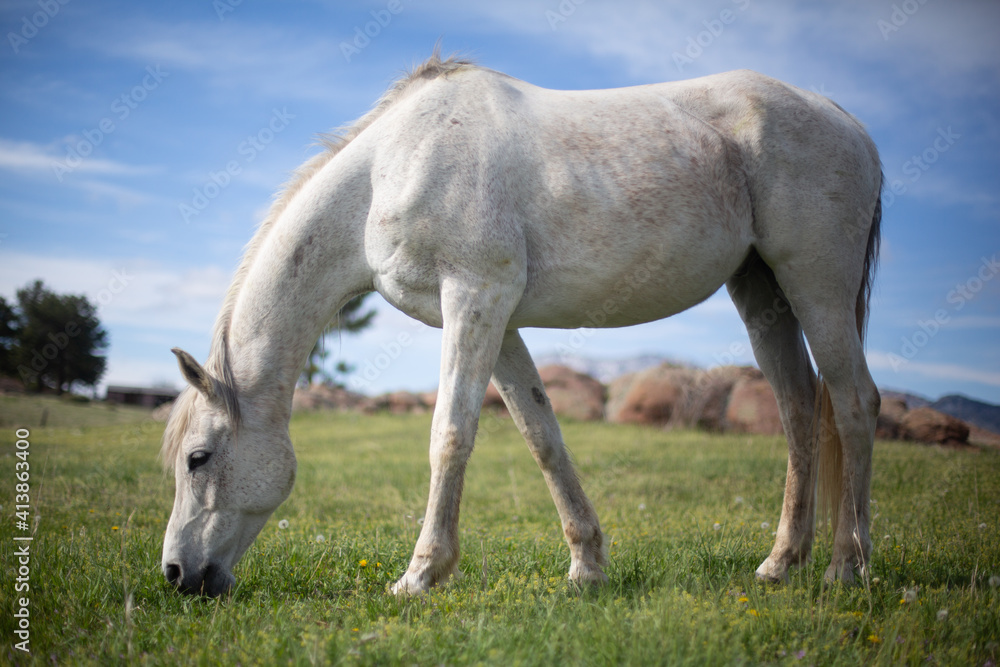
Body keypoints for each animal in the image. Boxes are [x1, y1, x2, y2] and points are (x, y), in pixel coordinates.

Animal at [160, 53, 882, 597]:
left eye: (199, 458)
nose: (175, 573)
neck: (391, 166)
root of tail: (848, 121)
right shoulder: (497, 322)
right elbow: (543, 437)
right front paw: (587, 566)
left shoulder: (474, 298)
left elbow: (450, 434)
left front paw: (420, 575)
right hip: (762, 292)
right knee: (798, 409)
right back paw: (780, 563)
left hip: (816, 286)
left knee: (853, 404)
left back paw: (847, 567)